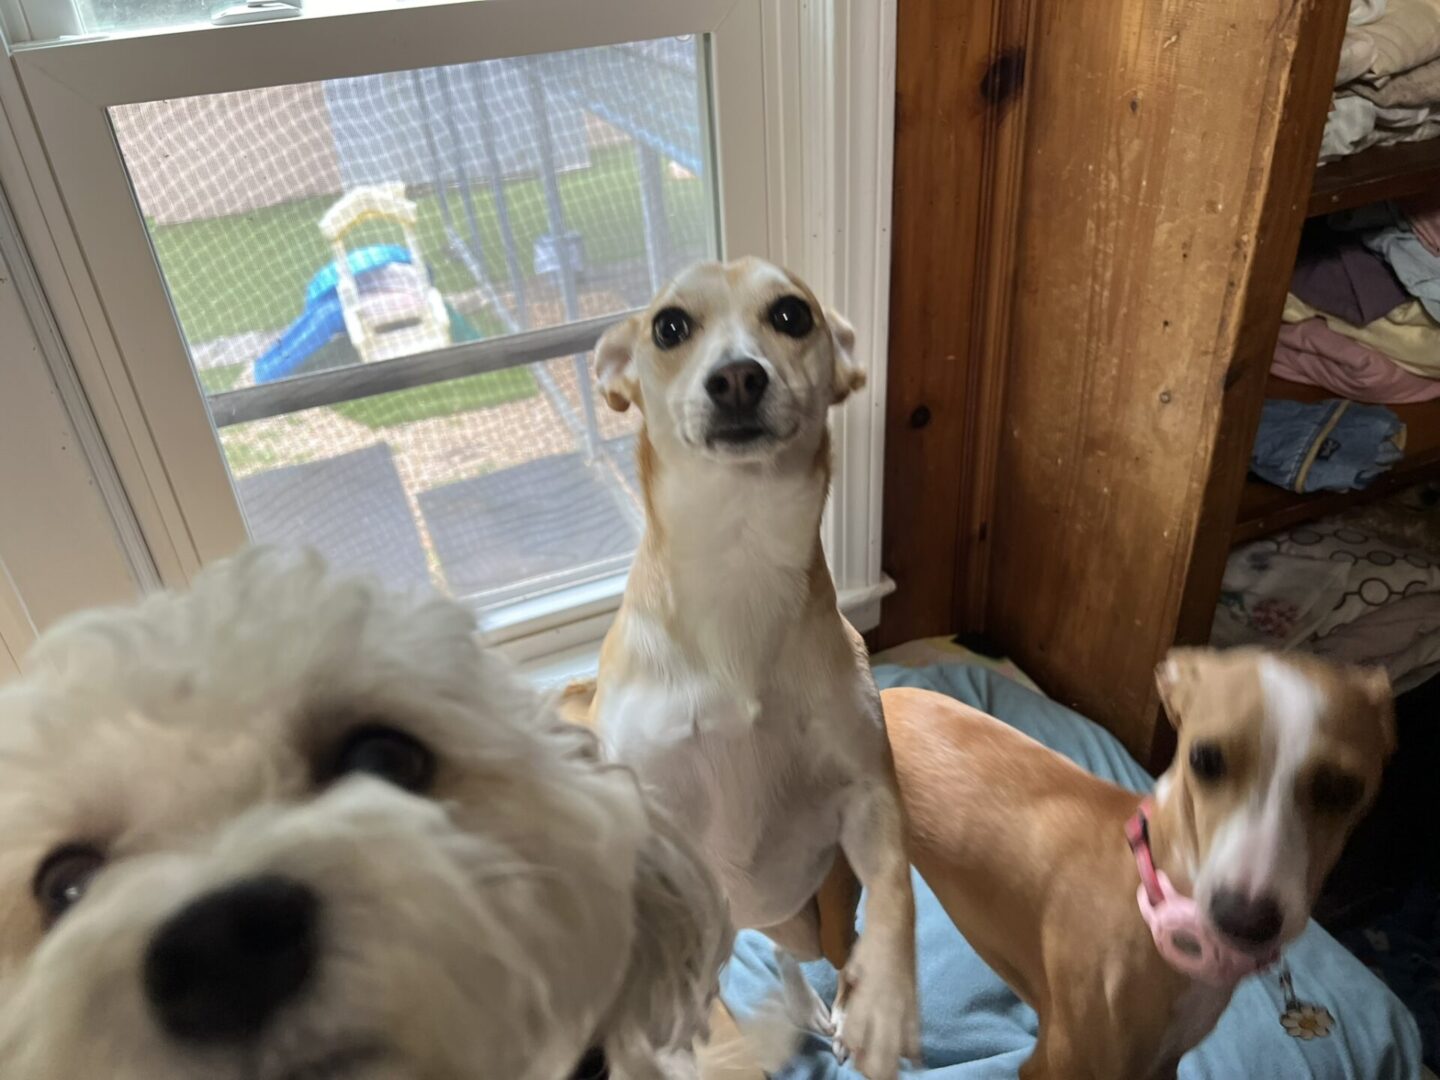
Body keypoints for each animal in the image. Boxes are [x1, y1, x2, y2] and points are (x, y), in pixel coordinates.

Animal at [590, 257, 915, 1077]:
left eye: (792, 315)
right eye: (670, 326)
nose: (737, 377)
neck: (737, 557)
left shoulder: (868, 788)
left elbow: (896, 885)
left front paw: (886, 1001)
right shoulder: (651, 805)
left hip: (813, 916)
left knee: (802, 953)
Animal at [846, 650, 1388, 1080]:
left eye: (1342, 788)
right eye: (1205, 759)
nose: (1244, 919)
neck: (1150, 890)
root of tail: (887, 690)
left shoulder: (1163, 1064)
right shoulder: (1053, 1065)